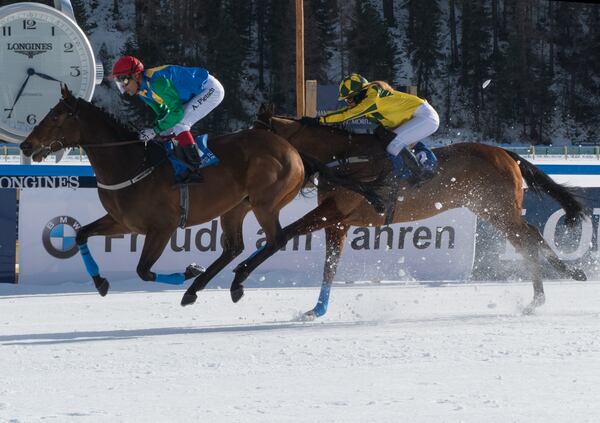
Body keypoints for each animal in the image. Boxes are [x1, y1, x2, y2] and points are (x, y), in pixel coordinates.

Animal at [21, 87, 382, 304]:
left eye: (56, 115)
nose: (26, 145)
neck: (130, 162)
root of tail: (294, 150)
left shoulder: (161, 227)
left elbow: (143, 270)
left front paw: (188, 270)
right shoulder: (123, 221)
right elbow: (81, 234)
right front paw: (100, 283)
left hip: (265, 202)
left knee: (275, 240)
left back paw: (232, 283)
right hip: (235, 207)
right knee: (234, 247)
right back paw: (197, 289)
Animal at [225, 105, 584, 318]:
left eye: (252, 135)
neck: (343, 158)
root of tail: (507, 154)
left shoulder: (333, 213)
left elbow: (285, 235)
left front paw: (239, 280)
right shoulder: (338, 222)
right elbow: (329, 266)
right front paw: (317, 309)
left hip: (498, 209)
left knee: (528, 239)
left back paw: (552, 287)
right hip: (490, 209)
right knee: (529, 237)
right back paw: (554, 284)